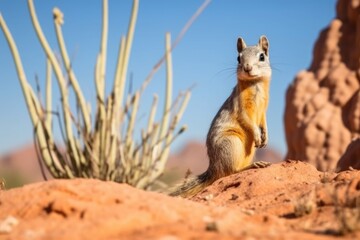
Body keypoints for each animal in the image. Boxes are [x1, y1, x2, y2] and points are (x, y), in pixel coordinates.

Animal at [170, 35, 272, 197]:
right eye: (238, 58)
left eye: (262, 56)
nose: (247, 67)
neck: (255, 84)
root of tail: (213, 169)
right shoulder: (240, 108)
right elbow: (248, 121)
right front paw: (257, 135)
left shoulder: (263, 111)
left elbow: (264, 123)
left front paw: (265, 137)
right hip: (231, 144)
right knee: (230, 172)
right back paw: (253, 165)